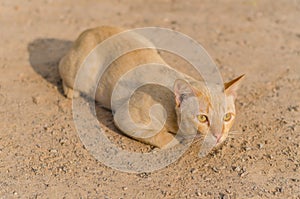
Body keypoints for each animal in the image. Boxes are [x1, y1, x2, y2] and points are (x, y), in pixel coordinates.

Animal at [58, 25, 244, 148]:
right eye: (202, 118)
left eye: (227, 117)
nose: (219, 136)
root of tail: (89, 30)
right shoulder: (125, 118)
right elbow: (164, 138)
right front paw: (178, 141)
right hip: (78, 73)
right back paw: (71, 91)